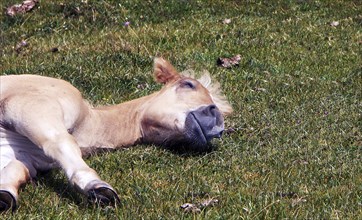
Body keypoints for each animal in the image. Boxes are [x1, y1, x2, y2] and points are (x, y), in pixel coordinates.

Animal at [0, 57, 232, 211]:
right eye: (188, 84)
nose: (216, 119)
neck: (88, 122)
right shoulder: (30, 106)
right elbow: (60, 142)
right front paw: (96, 187)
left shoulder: (22, 155)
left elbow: (15, 171)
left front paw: (4, 196)